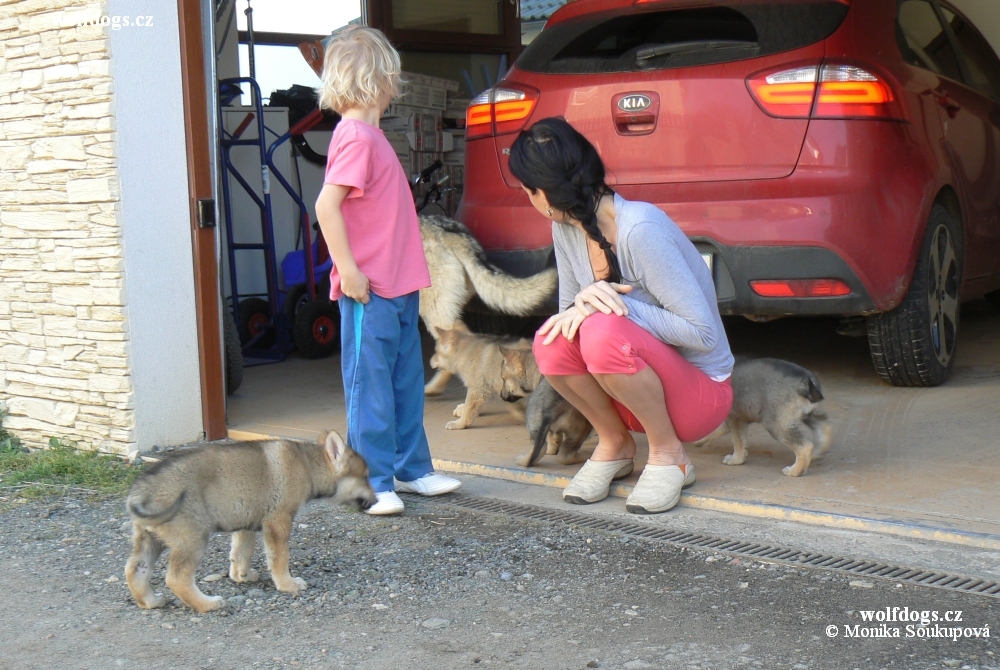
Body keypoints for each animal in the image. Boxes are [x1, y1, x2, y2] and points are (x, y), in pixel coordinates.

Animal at [125, 430, 376, 616]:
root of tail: (141, 491)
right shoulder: (278, 521)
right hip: (192, 539)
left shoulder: (246, 523)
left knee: (134, 570)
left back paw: (150, 601)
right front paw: (287, 584)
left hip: (149, 540)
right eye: (365, 477)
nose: (376, 500)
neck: (308, 466)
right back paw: (208, 604)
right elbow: (279, 558)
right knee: (177, 578)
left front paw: (241, 576)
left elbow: (241, 553)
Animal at [692, 356, 832, 478]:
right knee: (824, 428)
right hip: (809, 414)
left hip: (777, 425)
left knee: (805, 447)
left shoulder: (735, 418)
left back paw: (795, 471)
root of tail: (806, 382)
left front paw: (736, 459)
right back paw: (817, 453)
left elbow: (738, 441)